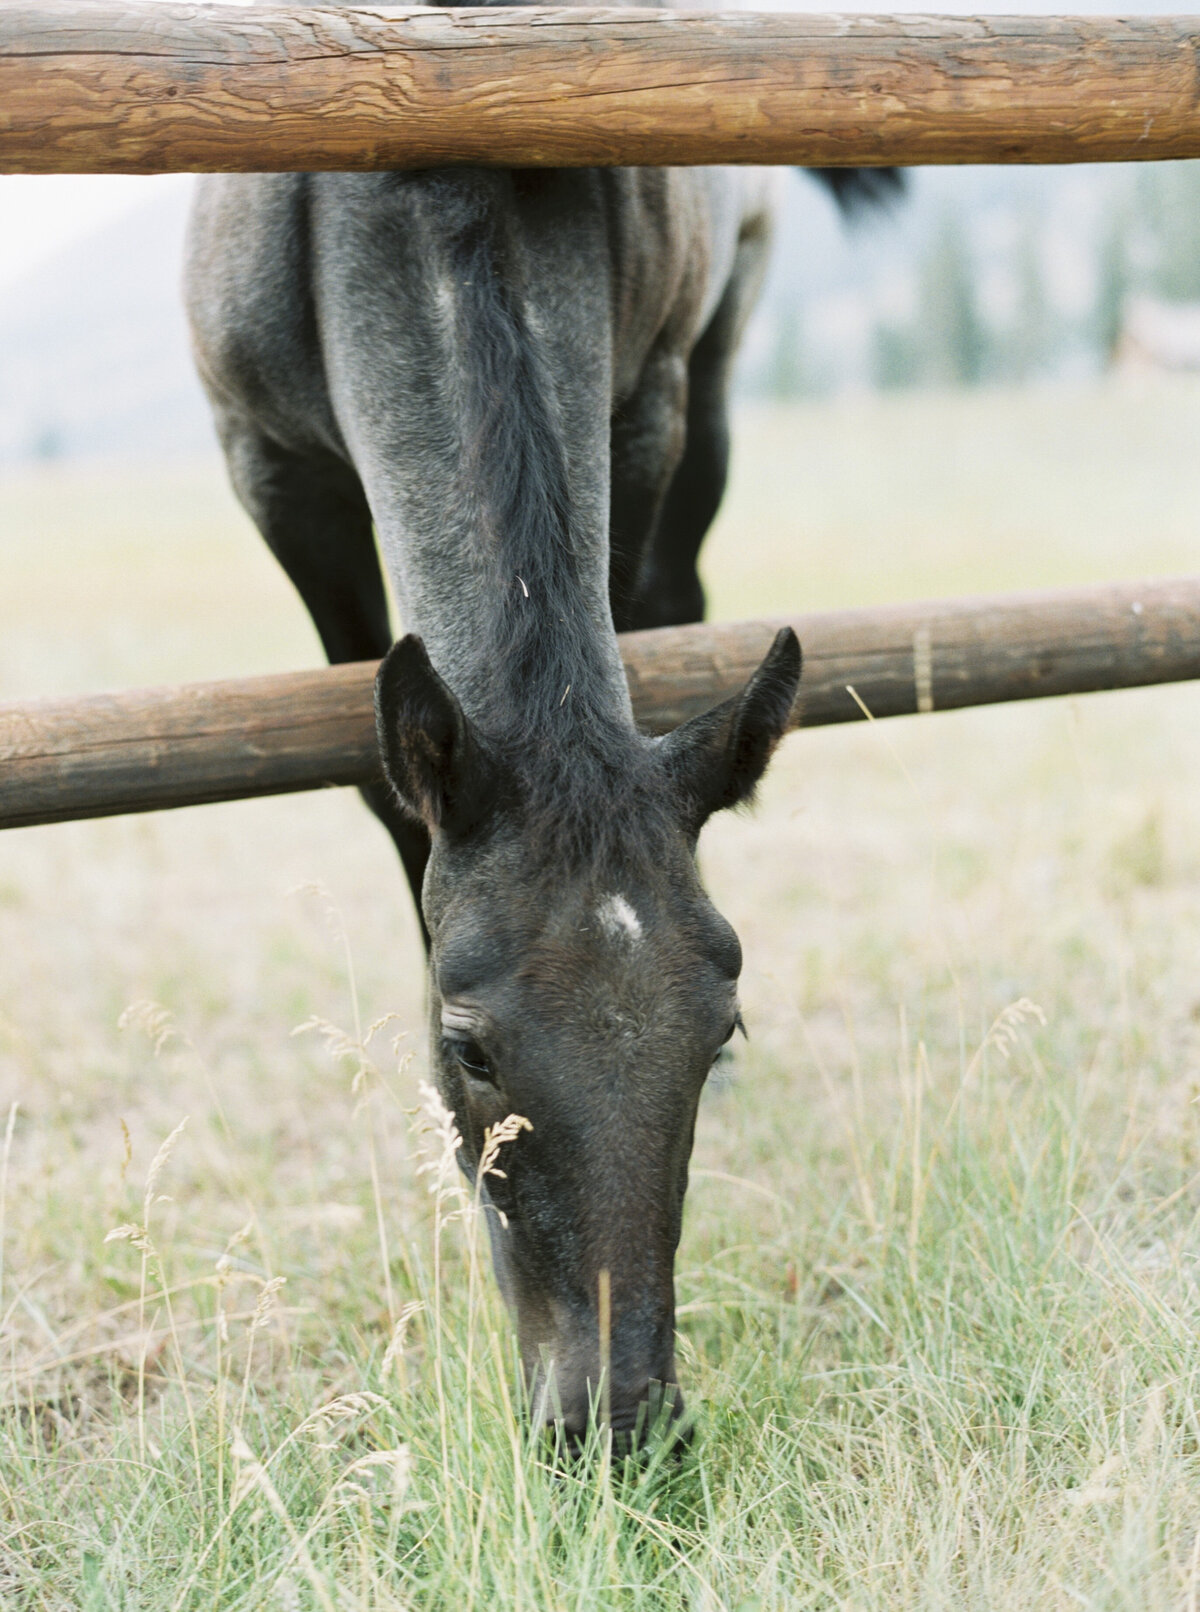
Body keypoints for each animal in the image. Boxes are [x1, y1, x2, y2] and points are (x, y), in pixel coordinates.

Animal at [185, 6, 890, 1444]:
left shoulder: (645, 403)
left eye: (721, 1028)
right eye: (470, 1047)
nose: (616, 1420)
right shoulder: (272, 472)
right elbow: (388, 786)